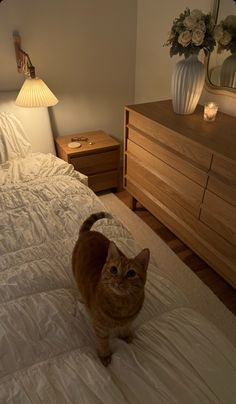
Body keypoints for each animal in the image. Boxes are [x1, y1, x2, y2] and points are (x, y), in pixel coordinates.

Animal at [71, 211, 149, 366]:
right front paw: (105, 355)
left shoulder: (130, 320)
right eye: (113, 270)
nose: (118, 280)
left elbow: (126, 328)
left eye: (131, 273)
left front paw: (125, 336)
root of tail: (88, 233)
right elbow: (103, 343)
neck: (122, 307)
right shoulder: (100, 328)